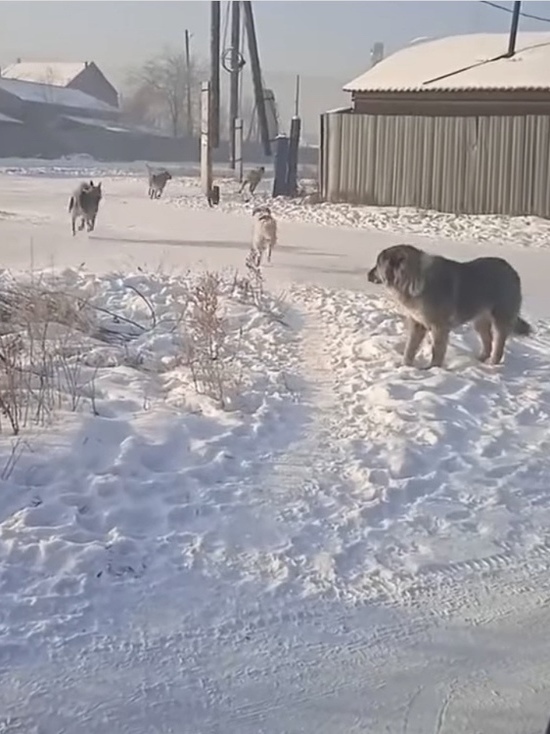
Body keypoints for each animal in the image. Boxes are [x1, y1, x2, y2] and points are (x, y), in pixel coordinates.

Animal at [368, 247, 532, 370]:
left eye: (378, 264)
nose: (368, 275)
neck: (412, 279)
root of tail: (512, 269)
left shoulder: (439, 327)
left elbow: (437, 351)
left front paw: (433, 369)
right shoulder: (418, 324)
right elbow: (410, 348)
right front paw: (405, 366)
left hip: (500, 318)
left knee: (498, 343)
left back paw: (492, 363)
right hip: (479, 321)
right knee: (488, 341)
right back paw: (480, 359)